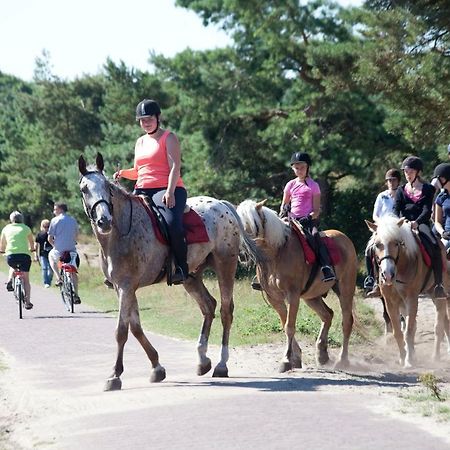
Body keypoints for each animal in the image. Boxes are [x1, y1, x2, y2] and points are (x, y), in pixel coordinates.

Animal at [79, 154, 258, 390]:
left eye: (107, 187)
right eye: (84, 189)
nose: (104, 221)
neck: (121, 233)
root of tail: (223, 205)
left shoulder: (126, 287)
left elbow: (121, 331)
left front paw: (114, 375)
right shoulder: (123, 288)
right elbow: (136, 328)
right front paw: (157, 367)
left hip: (225, 265)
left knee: (226, 311)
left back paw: (221, 364)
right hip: (191, 276)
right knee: (208, 306)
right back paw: (202, 361)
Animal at [234, 201, 356, 372]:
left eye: (255, 225)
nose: (243, 254)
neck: (277, 252)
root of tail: (345, 239)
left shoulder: (292, 295)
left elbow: (289, 326)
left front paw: (286, 360)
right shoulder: (274, 298)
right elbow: (285, 323)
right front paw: (296, 358)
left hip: (345, 289)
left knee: (346, 321)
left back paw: (342, 360)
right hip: (312, 297)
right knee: (327, 315)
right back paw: (322, 355)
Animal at [366, 214, 450, 366]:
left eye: (396, 243)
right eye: (377, 244)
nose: (387, 275)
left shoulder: (411, 299)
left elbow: (409, 330)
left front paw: (409, 360)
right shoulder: (390, 301)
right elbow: (398, 331)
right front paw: (403, 357)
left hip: (439, 294)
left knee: (439, 325)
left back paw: (436, 356)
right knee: (444, 323)